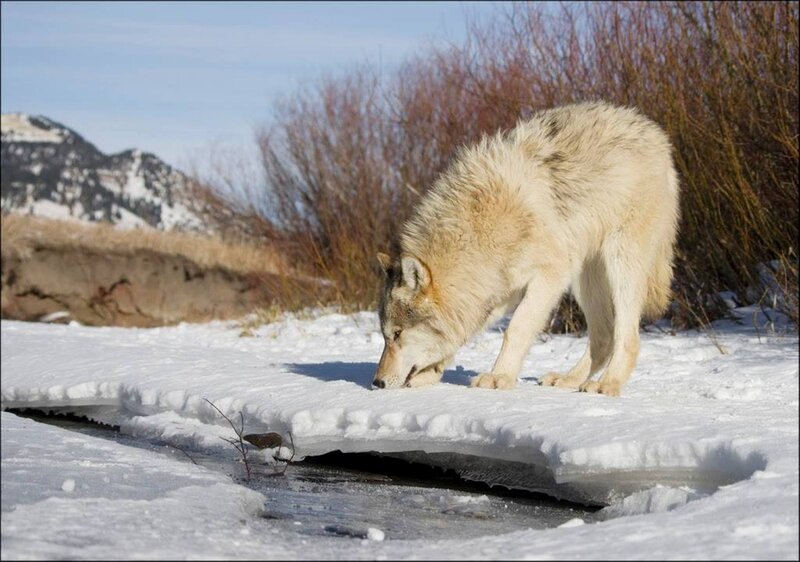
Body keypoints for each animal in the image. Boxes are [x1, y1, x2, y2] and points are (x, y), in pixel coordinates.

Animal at [373, 101, 680, 396]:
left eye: (397, 334)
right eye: (386, 336)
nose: (377, 382)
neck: (480, 228)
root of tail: (659, 138)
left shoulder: (550, 275)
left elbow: (516, 328)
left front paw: (499, 377)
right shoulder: (498, 287)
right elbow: (463, 329)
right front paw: (432, 373)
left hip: (619, 264)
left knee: (627, 337)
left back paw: (607, 385)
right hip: (585, 279)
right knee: (602, 337)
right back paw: (568, 380)